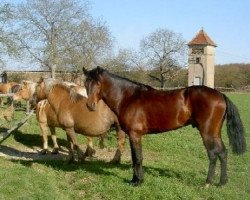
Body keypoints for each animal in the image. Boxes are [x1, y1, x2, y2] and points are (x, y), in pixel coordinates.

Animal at [82, 66, 246, 187]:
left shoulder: (135, 134)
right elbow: (135, 157)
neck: (128, 97)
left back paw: (207, 183)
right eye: (85, 84)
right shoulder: (132, 135)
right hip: (215, 132)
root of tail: (220, 95)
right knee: (223, 153)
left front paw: (138, 182)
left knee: (213, 154)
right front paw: (135, 179)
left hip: (207, 132)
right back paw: (222, 182)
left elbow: (138, 158)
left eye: (98, 83)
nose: (90, 106)